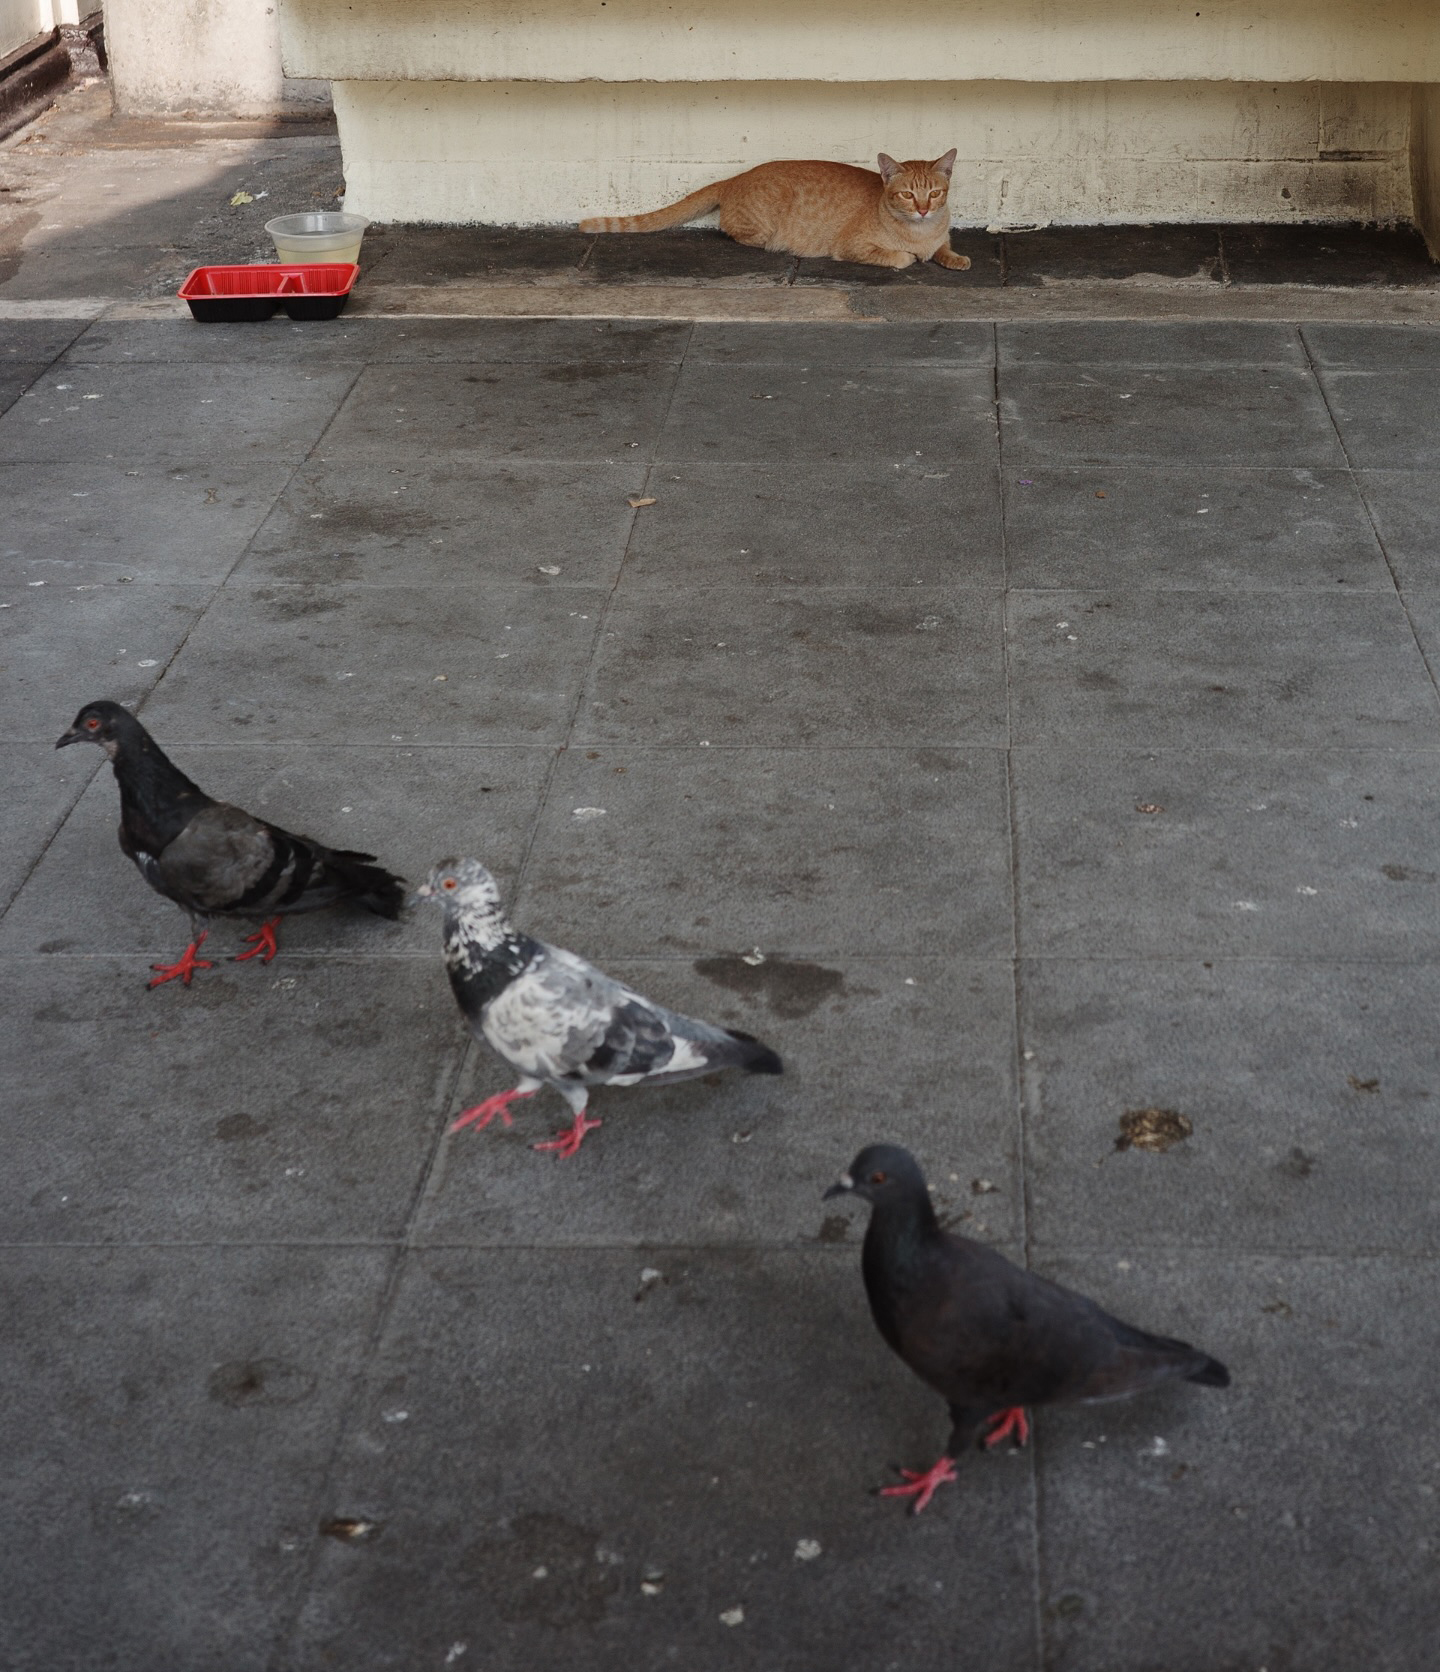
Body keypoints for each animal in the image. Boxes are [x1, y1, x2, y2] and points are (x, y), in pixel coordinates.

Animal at [580, 150, 970, 272]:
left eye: (935, 194)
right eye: (907, 195)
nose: (923, 210)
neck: (920, 232)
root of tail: (736, 176)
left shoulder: (940, 236)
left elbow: (944, 248)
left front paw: (956, 258)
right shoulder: (852, 247)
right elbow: (900, 258)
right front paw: (911, 256)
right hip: (766, 222)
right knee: (733, 230)